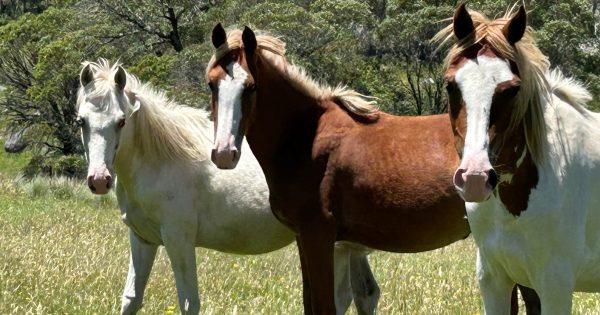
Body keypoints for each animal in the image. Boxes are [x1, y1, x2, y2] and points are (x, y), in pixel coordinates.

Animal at [75, 59, 380, 315]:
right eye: (81, 121)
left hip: (335, 247)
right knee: (366, 294)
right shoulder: (142, 239)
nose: (99, 180)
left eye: (121, 121)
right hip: (349, 247)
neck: (160, 160)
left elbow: (189, 302)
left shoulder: (178, 240)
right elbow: (131, 299)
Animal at [206, 24, 540, 314]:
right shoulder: (305, 238)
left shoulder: (318, 235)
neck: (306, 135)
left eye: (250, 87)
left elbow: (324, 305)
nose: (224, 153)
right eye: (211, 83)